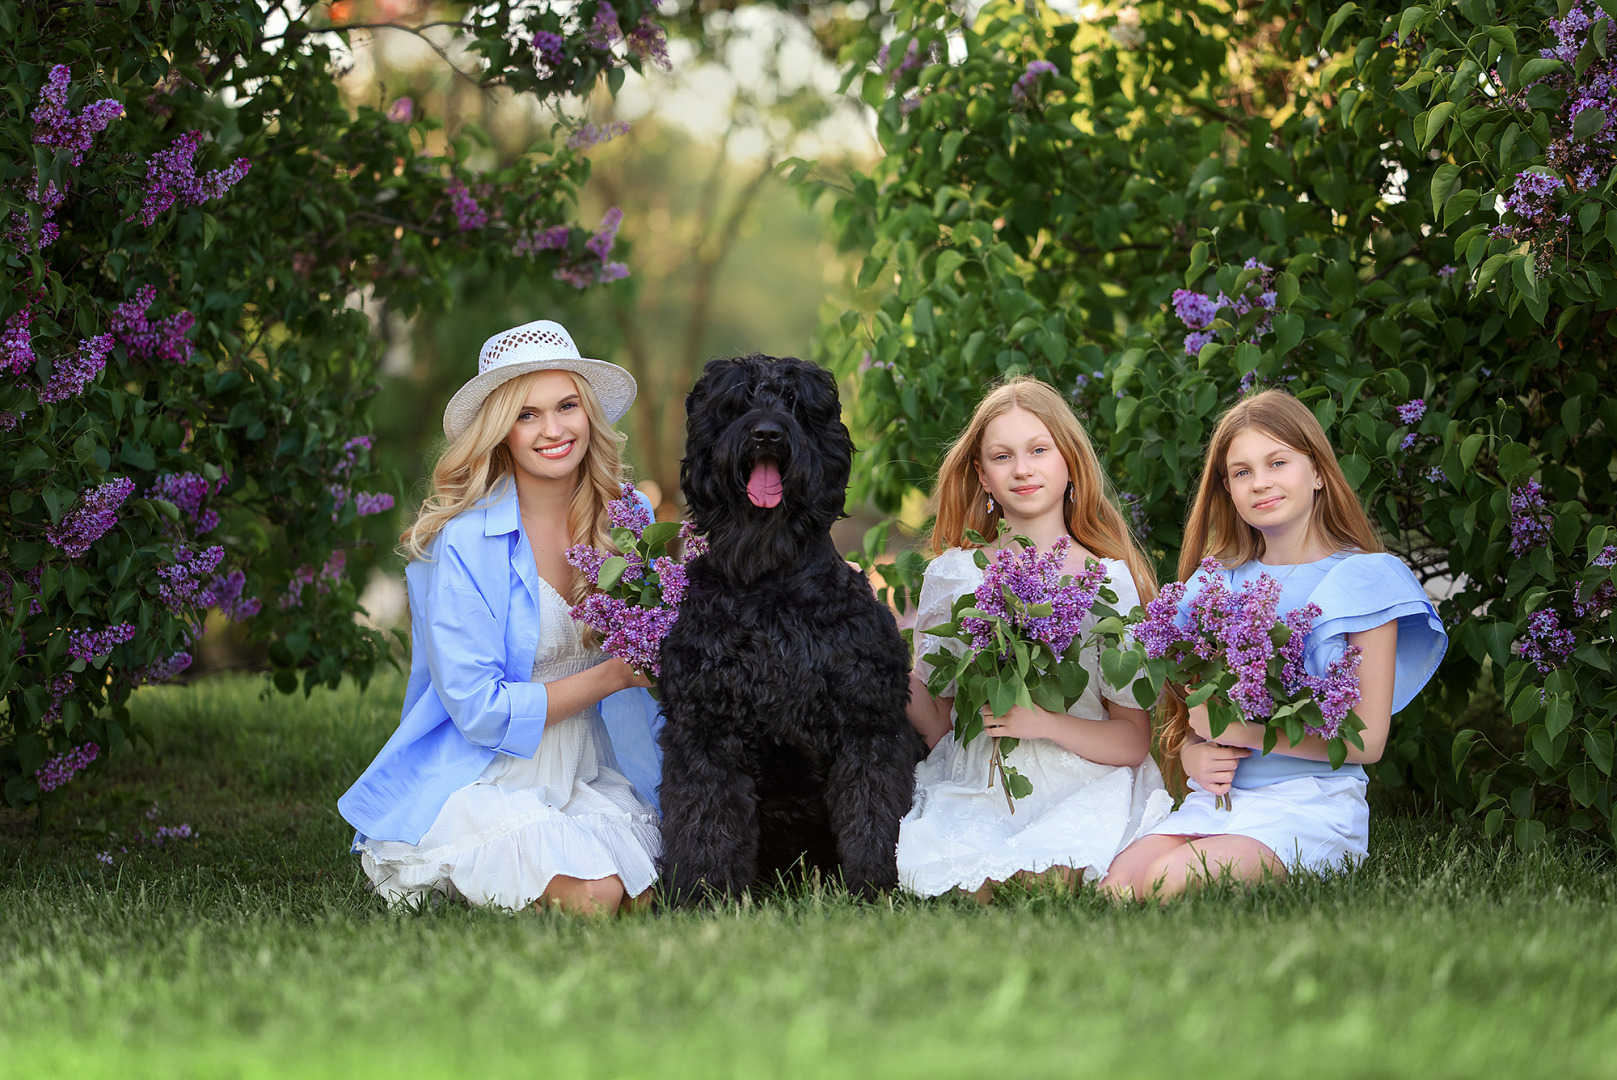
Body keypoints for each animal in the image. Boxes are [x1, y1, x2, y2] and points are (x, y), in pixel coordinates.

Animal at [650, 354, 918, 905]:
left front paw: (874, 888)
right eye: (737, 400)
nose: (767, 434)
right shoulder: (706, 730)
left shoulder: (868, 723)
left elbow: (872, 814)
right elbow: (707, 818)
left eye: (795, 401)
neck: (771, 585)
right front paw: (704, 894)